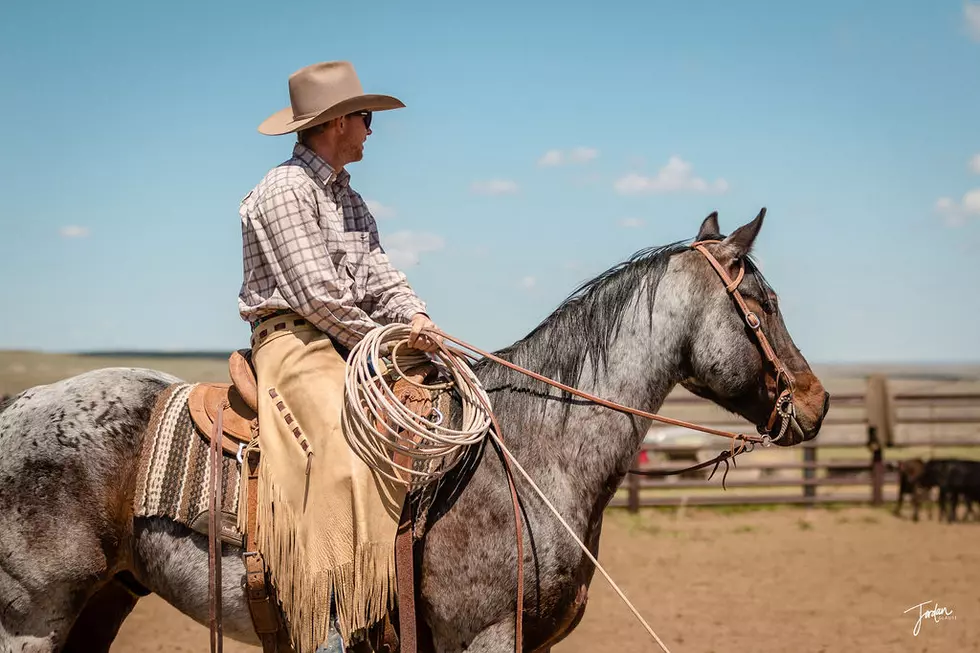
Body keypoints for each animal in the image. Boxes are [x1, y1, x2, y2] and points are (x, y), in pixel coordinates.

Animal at [0, 210, 828, 652]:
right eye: (766, 301)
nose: (815, 401)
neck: (534, 456)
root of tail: (21, 403)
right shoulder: (486, 634)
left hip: (101, 602)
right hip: (32, 617)